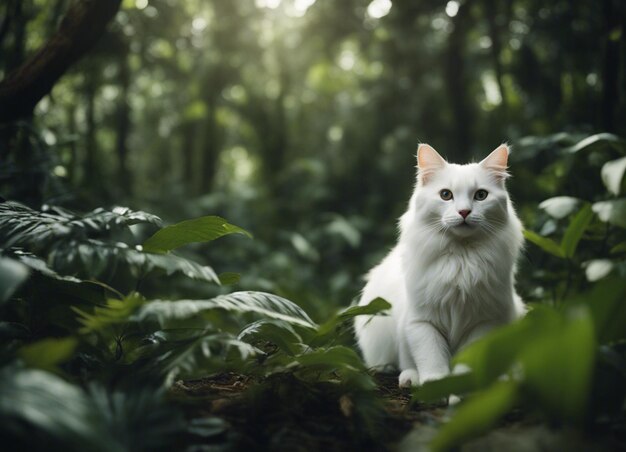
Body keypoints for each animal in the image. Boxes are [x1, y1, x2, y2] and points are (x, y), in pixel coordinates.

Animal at [354, 143, 524, 386]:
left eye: (481, 195)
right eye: (446, 195)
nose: (464, 212)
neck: (461, 260)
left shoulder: (483, 324)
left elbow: (467, 364)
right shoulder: (422, 323)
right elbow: (431, 360)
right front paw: (434, 385)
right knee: (400, 364)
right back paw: (409, 378)